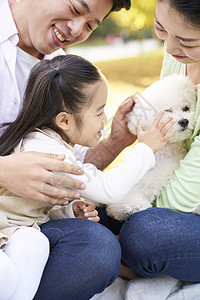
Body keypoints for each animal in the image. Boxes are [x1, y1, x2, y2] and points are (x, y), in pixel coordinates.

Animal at [107, 73, 196, 220]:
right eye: (167, 110)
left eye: (186, 108)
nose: (184, 121)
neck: (161, 153)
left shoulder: (158, 176)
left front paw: (131, 206)